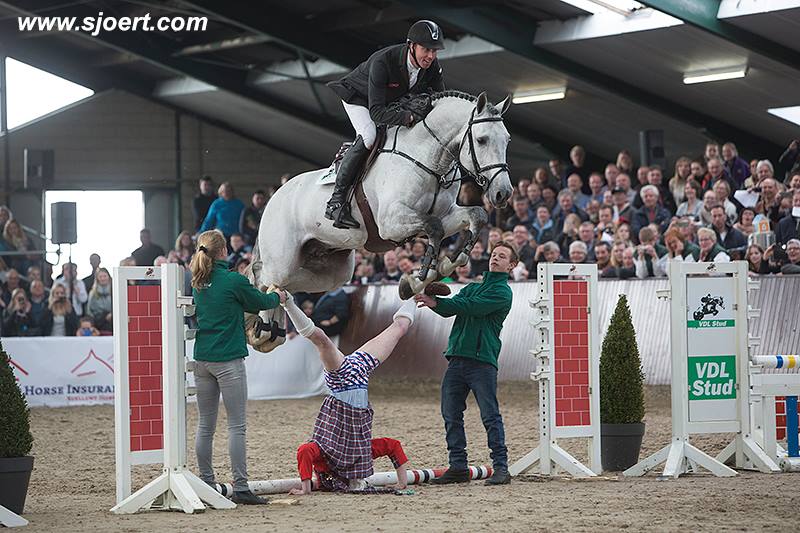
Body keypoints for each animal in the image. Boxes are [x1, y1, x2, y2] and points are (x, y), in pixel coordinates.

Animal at [247, 89, 516, 352]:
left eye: (507, 140)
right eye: (481, 140)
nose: (503, 193)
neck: (430, 159)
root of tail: (274, 196)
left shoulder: (446, 214)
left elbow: (476, 216)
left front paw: (448, 263)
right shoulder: (391, 223)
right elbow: (434, 228)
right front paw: (419, 279)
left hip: (335, 269)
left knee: (287, 283)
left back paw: (271, 331)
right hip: (283, 256)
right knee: (270, 278)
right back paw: (263, 330)